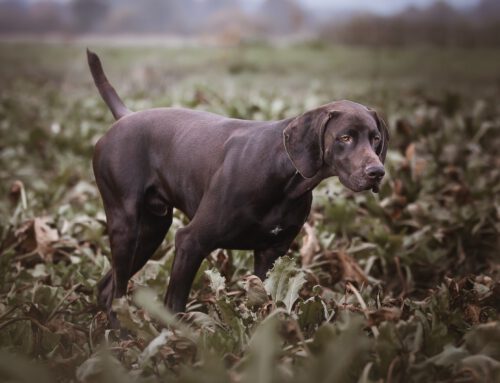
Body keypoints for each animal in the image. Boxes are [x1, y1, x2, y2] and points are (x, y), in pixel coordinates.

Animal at [88, 48, 388, 328]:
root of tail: (125, 117)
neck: (283, 177)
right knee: (116, 292)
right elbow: (175, 307)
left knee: (106, 288)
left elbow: (266, 303)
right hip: (126, 226)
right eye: (345, 138)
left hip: (151, 231)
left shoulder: (271, 254)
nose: (377, 172)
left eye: (375, 139)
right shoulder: (190, 242)